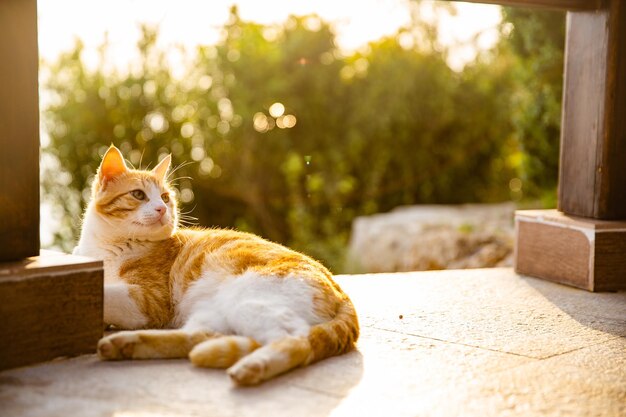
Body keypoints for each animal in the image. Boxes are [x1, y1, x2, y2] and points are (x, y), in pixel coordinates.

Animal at [72, 145, 356, 384]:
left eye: (165, 197)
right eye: (138, 195)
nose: (162, 210)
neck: (108, 248)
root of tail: (341, 291)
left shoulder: (147, 301)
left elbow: (109, 294)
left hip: (247, 299)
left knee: (296, 340)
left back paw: (255, 365)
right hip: (211, 312)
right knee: (199, 336)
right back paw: (125, 344)